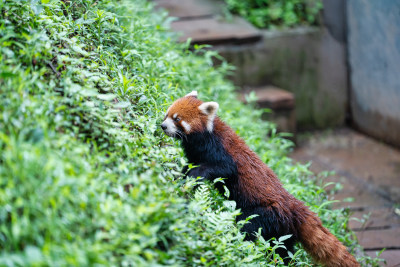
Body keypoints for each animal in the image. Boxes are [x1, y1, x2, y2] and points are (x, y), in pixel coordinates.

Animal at [161, 91, 360, 266]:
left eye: (177, 119)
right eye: (167, 114)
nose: (163, 126)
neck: (203, 138)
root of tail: (294, 206)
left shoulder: (220, 151)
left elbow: (221, 168)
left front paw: (194, 175)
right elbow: (188, 166)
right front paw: (182, 175)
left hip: (264, 215)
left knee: (250, 229)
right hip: (282, 231)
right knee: (283, 249)